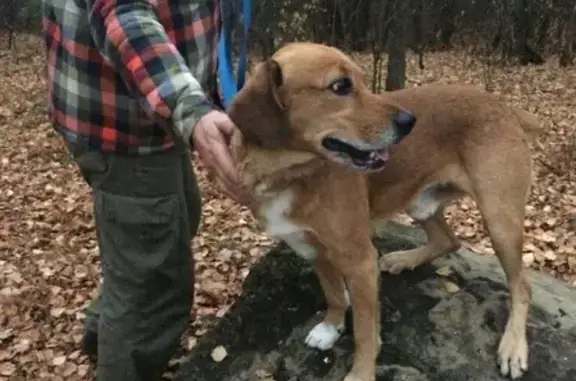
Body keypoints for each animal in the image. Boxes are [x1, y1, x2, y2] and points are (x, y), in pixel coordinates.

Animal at [224, 41, 540, 380]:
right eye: (341, 86)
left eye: (362, 81)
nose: (410, 122)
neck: (290, 174)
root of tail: (504, 106)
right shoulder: (313, 249)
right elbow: (334, 294)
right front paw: (331, 327)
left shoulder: (360, 261)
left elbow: (363, 330)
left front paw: (361, 372)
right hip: (419, 203)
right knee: (448, 240)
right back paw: (403, 259)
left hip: (499, 219)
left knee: (522, 286)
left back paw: (513, 346)